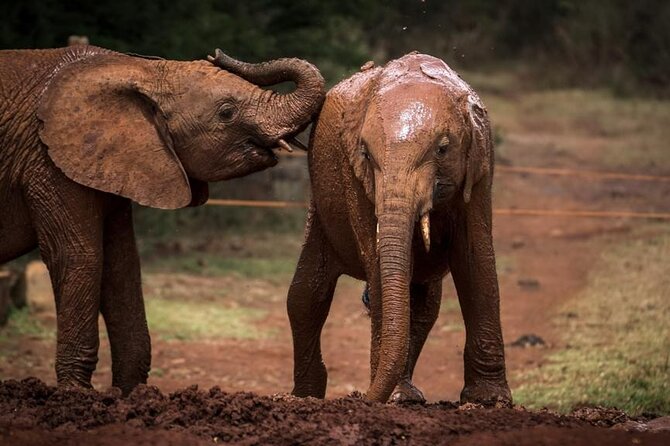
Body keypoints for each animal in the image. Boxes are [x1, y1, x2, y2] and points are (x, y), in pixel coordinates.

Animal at [0, 44, 325, 394]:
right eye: (227, 113)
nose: (215, 54)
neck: (137, 69)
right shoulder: (47, 162)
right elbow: (79, 257)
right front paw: (76, 395)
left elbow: (122, 265)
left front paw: (130, 394)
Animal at [287, 53, 512, 404]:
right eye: (365, 154)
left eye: (442, 149)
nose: (358, 397)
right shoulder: (353, 174)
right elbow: (377, 261)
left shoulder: (481, 164)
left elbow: (475, 259)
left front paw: (489, 401)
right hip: (320, 208)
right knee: (306, 296)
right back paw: (308, 397)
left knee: (423, 306)